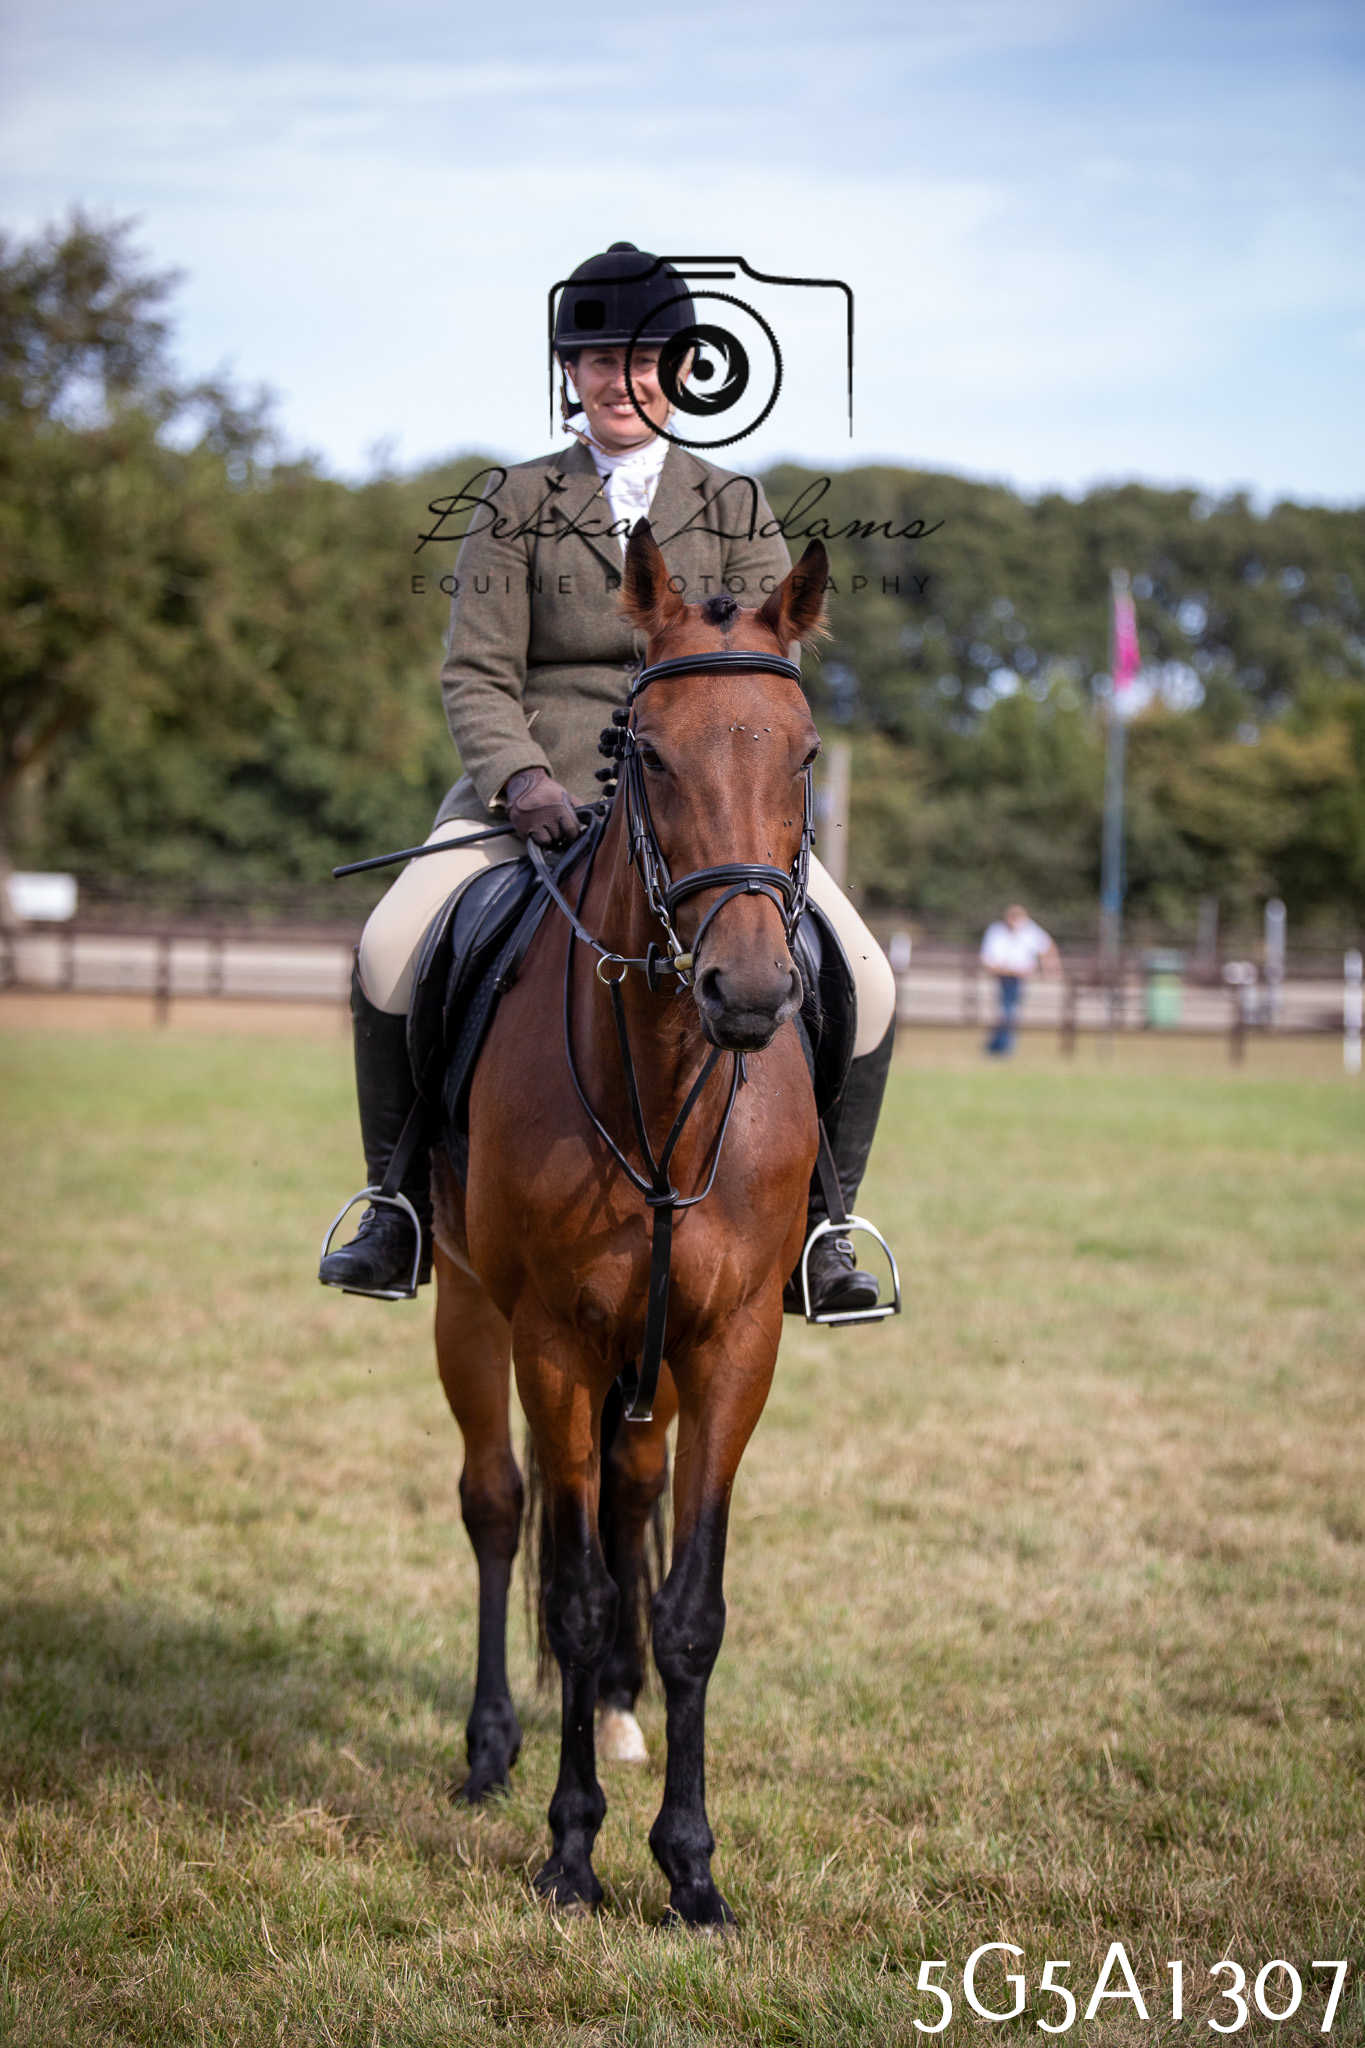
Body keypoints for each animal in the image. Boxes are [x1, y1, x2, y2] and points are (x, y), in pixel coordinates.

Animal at [429, 520, 829, 1925]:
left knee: (622, 1500)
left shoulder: (736, 1344)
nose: (750, 988)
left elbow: (685, 1605)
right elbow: (578, 1594)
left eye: (804, 752)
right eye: (647, 753)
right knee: (500, 1508)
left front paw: (692, 1865)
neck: (660, 1068)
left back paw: (616, 1716)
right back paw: (496, 1746)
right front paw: (570, 1850)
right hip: (468, 1309)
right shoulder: (549, 1335)